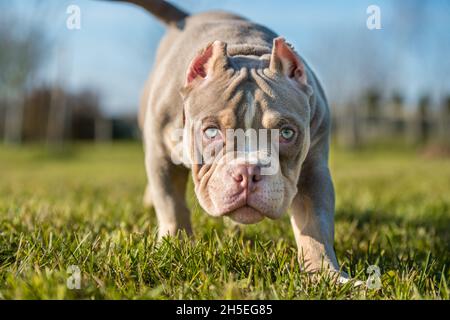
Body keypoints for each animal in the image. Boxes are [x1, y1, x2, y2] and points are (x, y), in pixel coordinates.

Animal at [111, 0, 342, 278]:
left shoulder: (313, 169)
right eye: (211, 132)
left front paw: (328, 275)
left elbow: (315, 225)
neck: (247, 50)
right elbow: (171, 204)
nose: (248, 172)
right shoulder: (160, 153)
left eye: (286, 133)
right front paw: (176, 247)